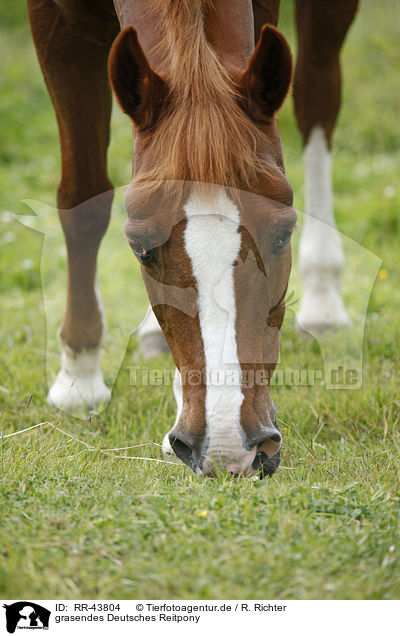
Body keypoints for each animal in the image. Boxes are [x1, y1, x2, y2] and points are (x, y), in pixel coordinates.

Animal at [28, 1, 360, 476]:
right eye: (139, 248)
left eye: (283, 235)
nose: (229, 448)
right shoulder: (58, 26)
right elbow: (84, 201)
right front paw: (79, 376)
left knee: (317, 94)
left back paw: (323, 301)